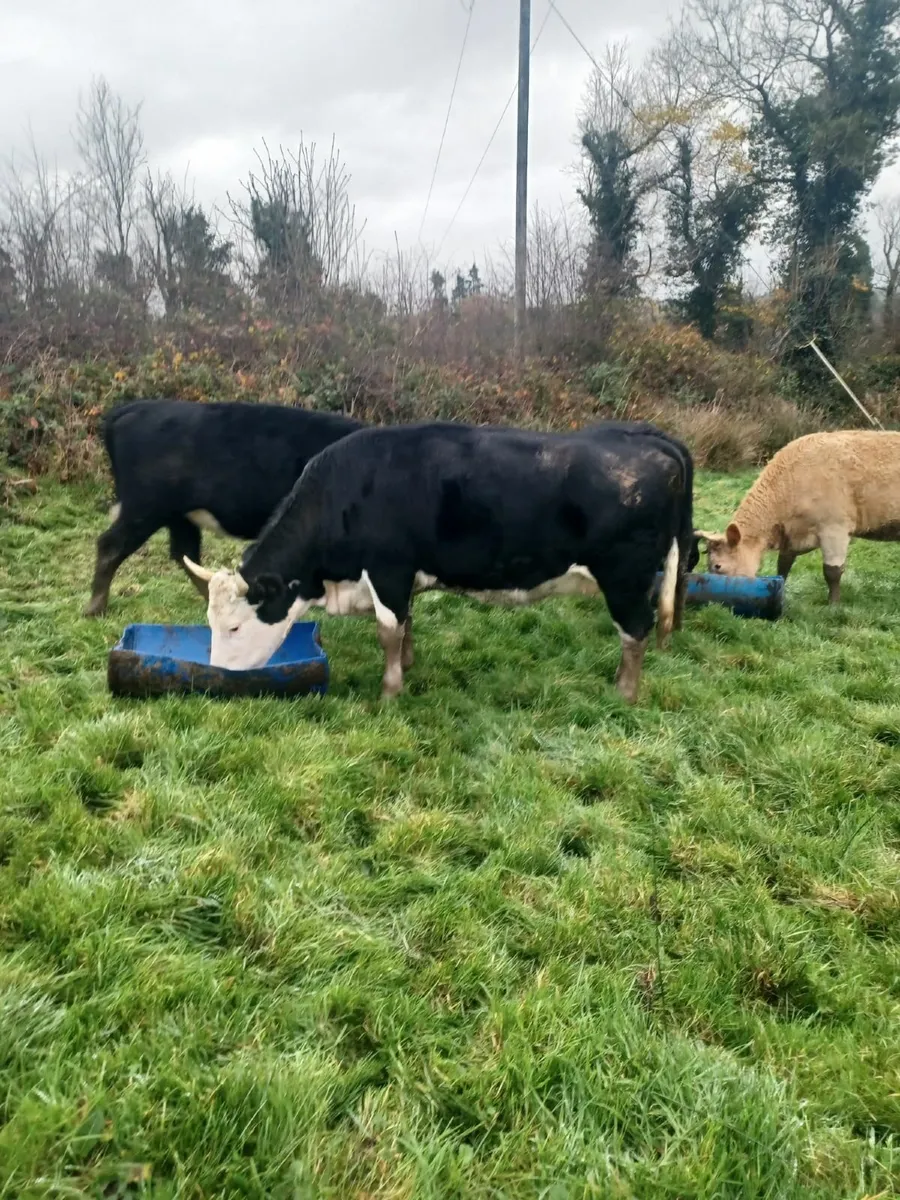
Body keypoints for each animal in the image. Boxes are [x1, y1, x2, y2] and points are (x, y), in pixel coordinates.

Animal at [83, 398, 363, 617]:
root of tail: (131, 409)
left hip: (178, 515)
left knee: (185, 554)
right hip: (145, 508)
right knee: (110, 545)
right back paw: (95, 609)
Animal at [183, 419, 695, 704]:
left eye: (233, 626)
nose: (218, 676)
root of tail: (650, 440)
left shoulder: (388, 569)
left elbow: (388, 630)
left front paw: (390, 692)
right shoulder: (402, 576)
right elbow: (407, 622)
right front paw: (408, 667)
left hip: (625, 577)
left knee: (636, 631)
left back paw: (624, 694)